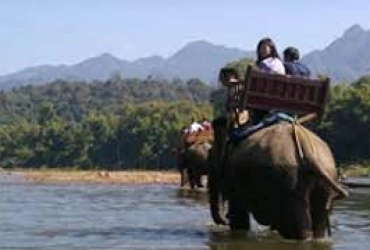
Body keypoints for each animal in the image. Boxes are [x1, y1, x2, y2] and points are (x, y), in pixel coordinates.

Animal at [210, 118, 348, 241]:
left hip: (287, 181)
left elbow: (239, 217)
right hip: (322, 177)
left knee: (296, 227)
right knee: (318, 221)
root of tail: (305, 144)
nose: (225, 219)